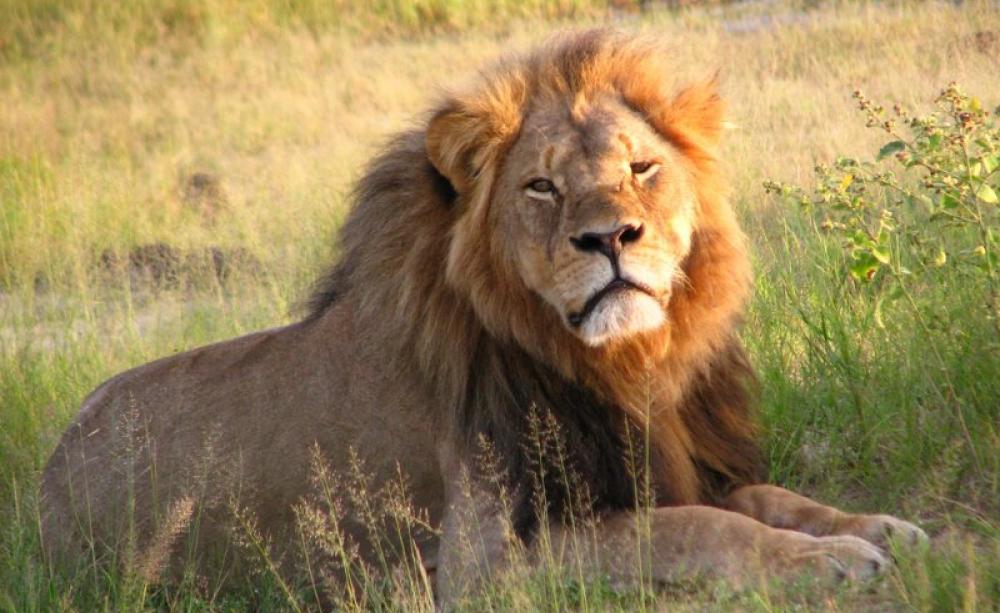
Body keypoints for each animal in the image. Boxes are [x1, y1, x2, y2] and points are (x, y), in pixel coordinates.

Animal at [41, 29, 925, 604]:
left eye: (642, 167)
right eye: (542, 186)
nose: (611, 237)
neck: (621, 364)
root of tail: (45, 476)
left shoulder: (662, 458)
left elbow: (768, 497)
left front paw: (877, 527)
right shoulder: (484, 558)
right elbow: (698, 526)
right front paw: (830, 559)